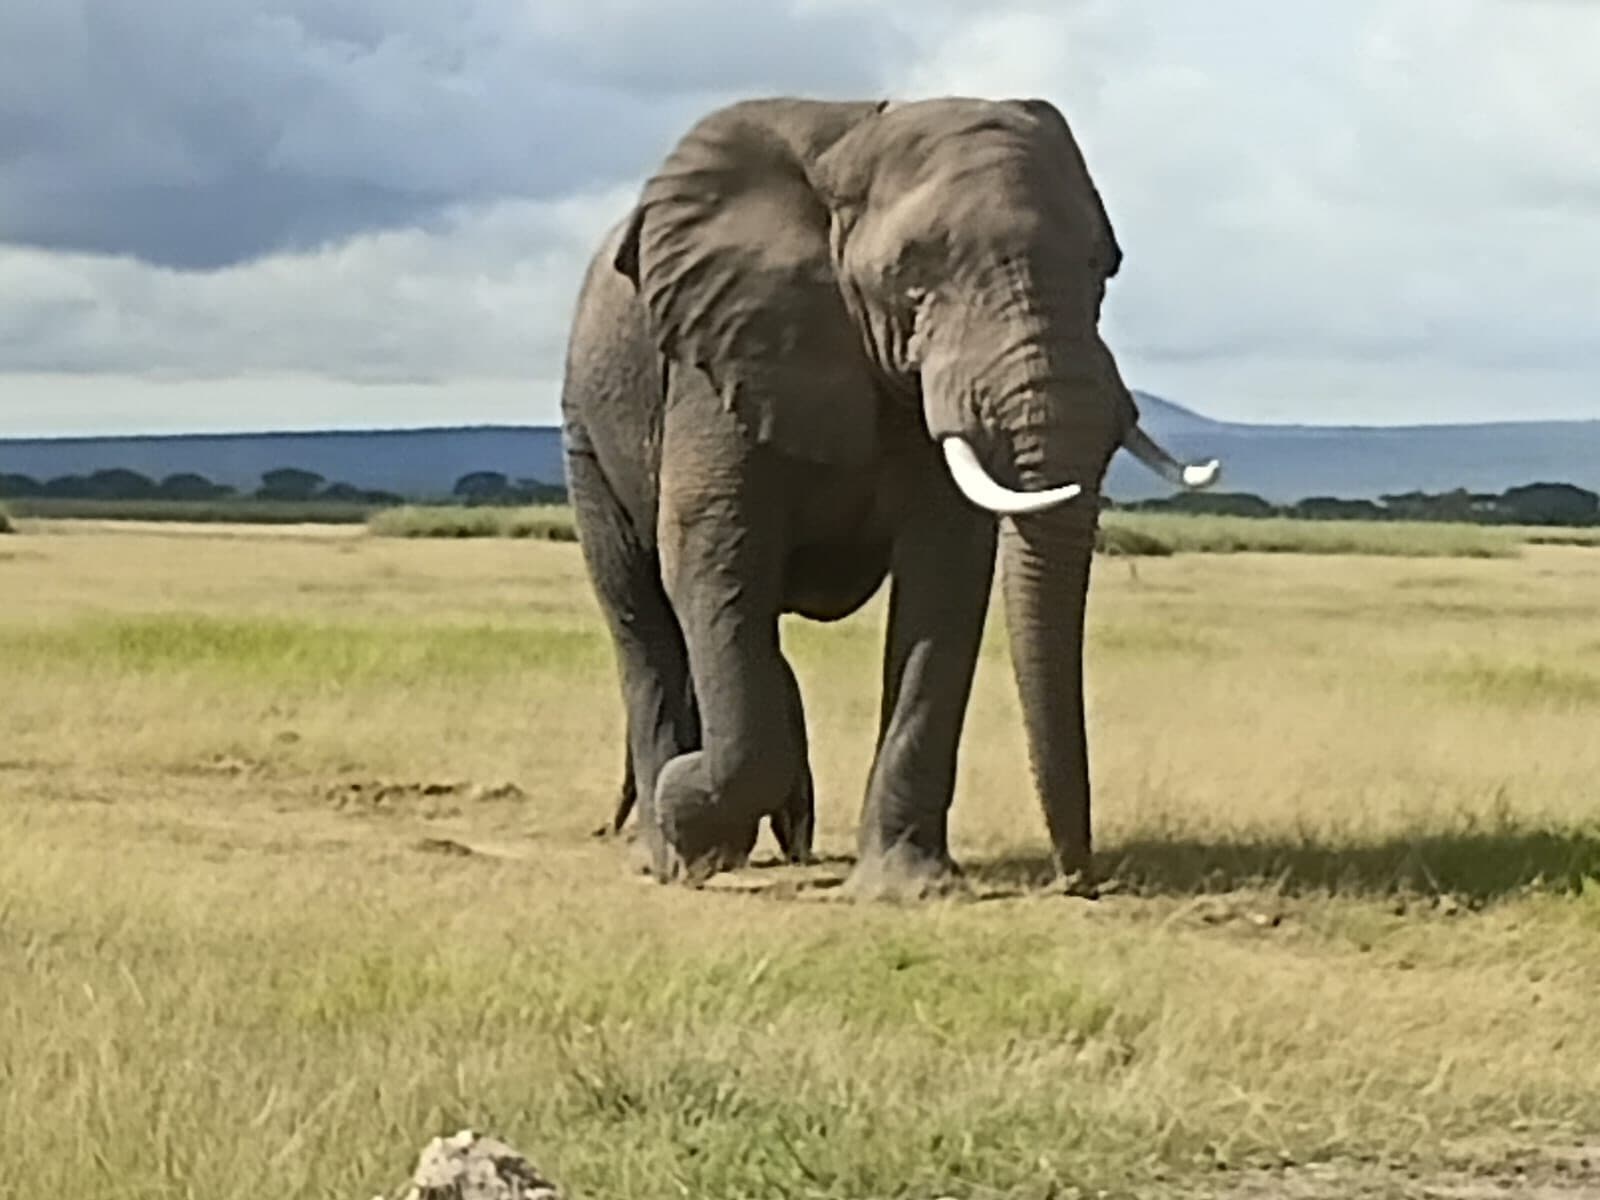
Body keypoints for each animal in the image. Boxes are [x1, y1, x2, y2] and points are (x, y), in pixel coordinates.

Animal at [560, 96, 1218, 893]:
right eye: (911, 277)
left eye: (1104, 270)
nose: (1079, 880)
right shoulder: (719, 351)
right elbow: (711, 550)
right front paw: (688, 823)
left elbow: (947, 573)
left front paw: (908, 887)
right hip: (587, 433)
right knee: (644, 616)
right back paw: (670, 852)